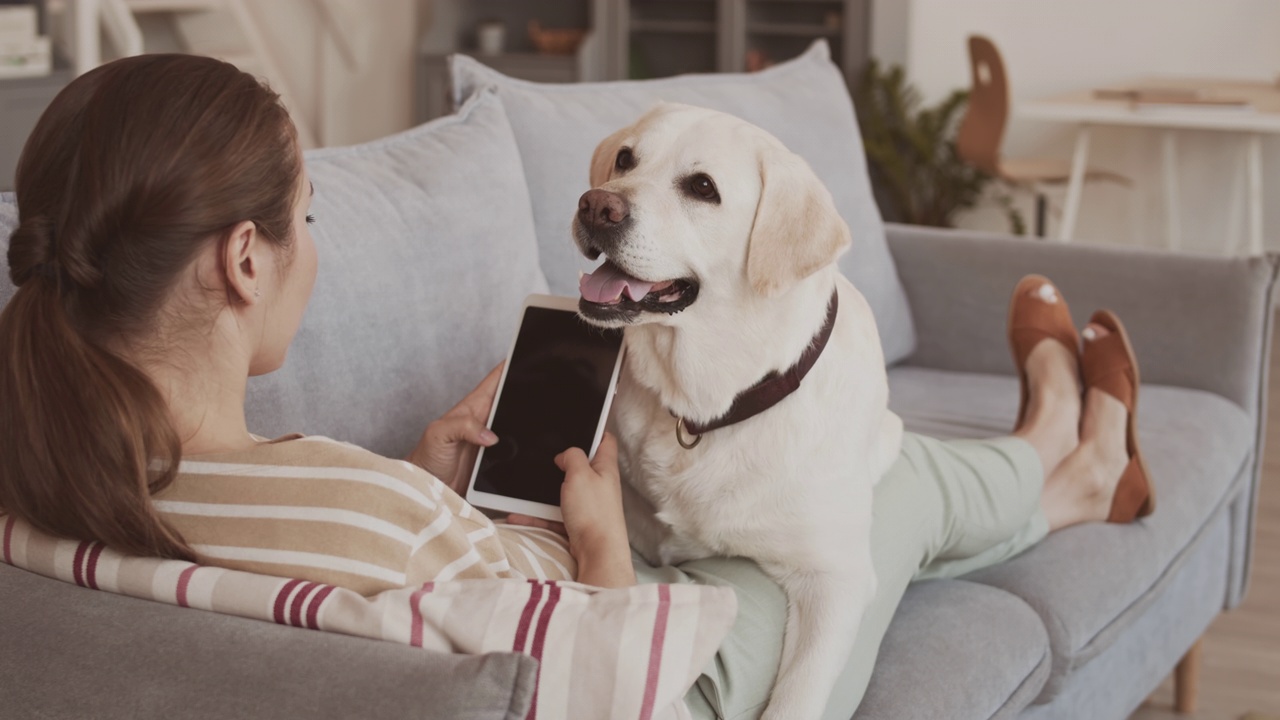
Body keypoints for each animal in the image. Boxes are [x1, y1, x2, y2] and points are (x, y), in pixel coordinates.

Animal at [576, 102, 906, 717]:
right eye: (625, 159)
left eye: (703, 188)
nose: (595, 205)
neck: (707, 407)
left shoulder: (836, 579)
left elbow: (798, 697)